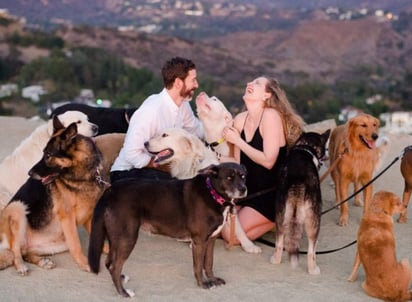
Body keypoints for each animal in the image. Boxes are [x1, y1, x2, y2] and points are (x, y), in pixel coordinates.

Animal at [88, 163, 246, 298]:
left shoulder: (211, 240)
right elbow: (198, 266)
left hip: (116, 238)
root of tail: (110, 190)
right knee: (115, 267)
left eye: (243, 176)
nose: (243, 189)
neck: (213, 193)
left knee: (109, 263)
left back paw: (121, 279)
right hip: (128, 238)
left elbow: (209, 263)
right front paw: (203, 284)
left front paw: (213, 279)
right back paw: (124, 293)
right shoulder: (199, 241)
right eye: (229, 178)